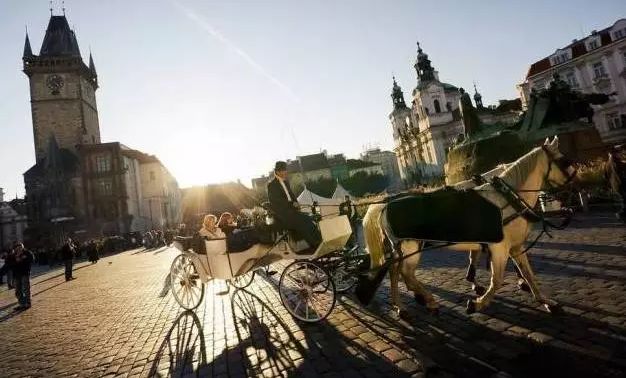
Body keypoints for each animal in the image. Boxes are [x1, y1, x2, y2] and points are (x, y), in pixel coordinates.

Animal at [360, 137, 576, 314]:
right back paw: (428, 300)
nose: (574, 186)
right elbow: (497, 280)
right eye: (565, 161)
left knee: (394, 272)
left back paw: (401, 305)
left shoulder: (515, 247)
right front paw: (477, 303)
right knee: (406, 274)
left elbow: (528, 274)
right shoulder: (499, 248)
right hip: (411, 247)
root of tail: (384, 205)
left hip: (402, 250)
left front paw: (545, 300)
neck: (507, 197)